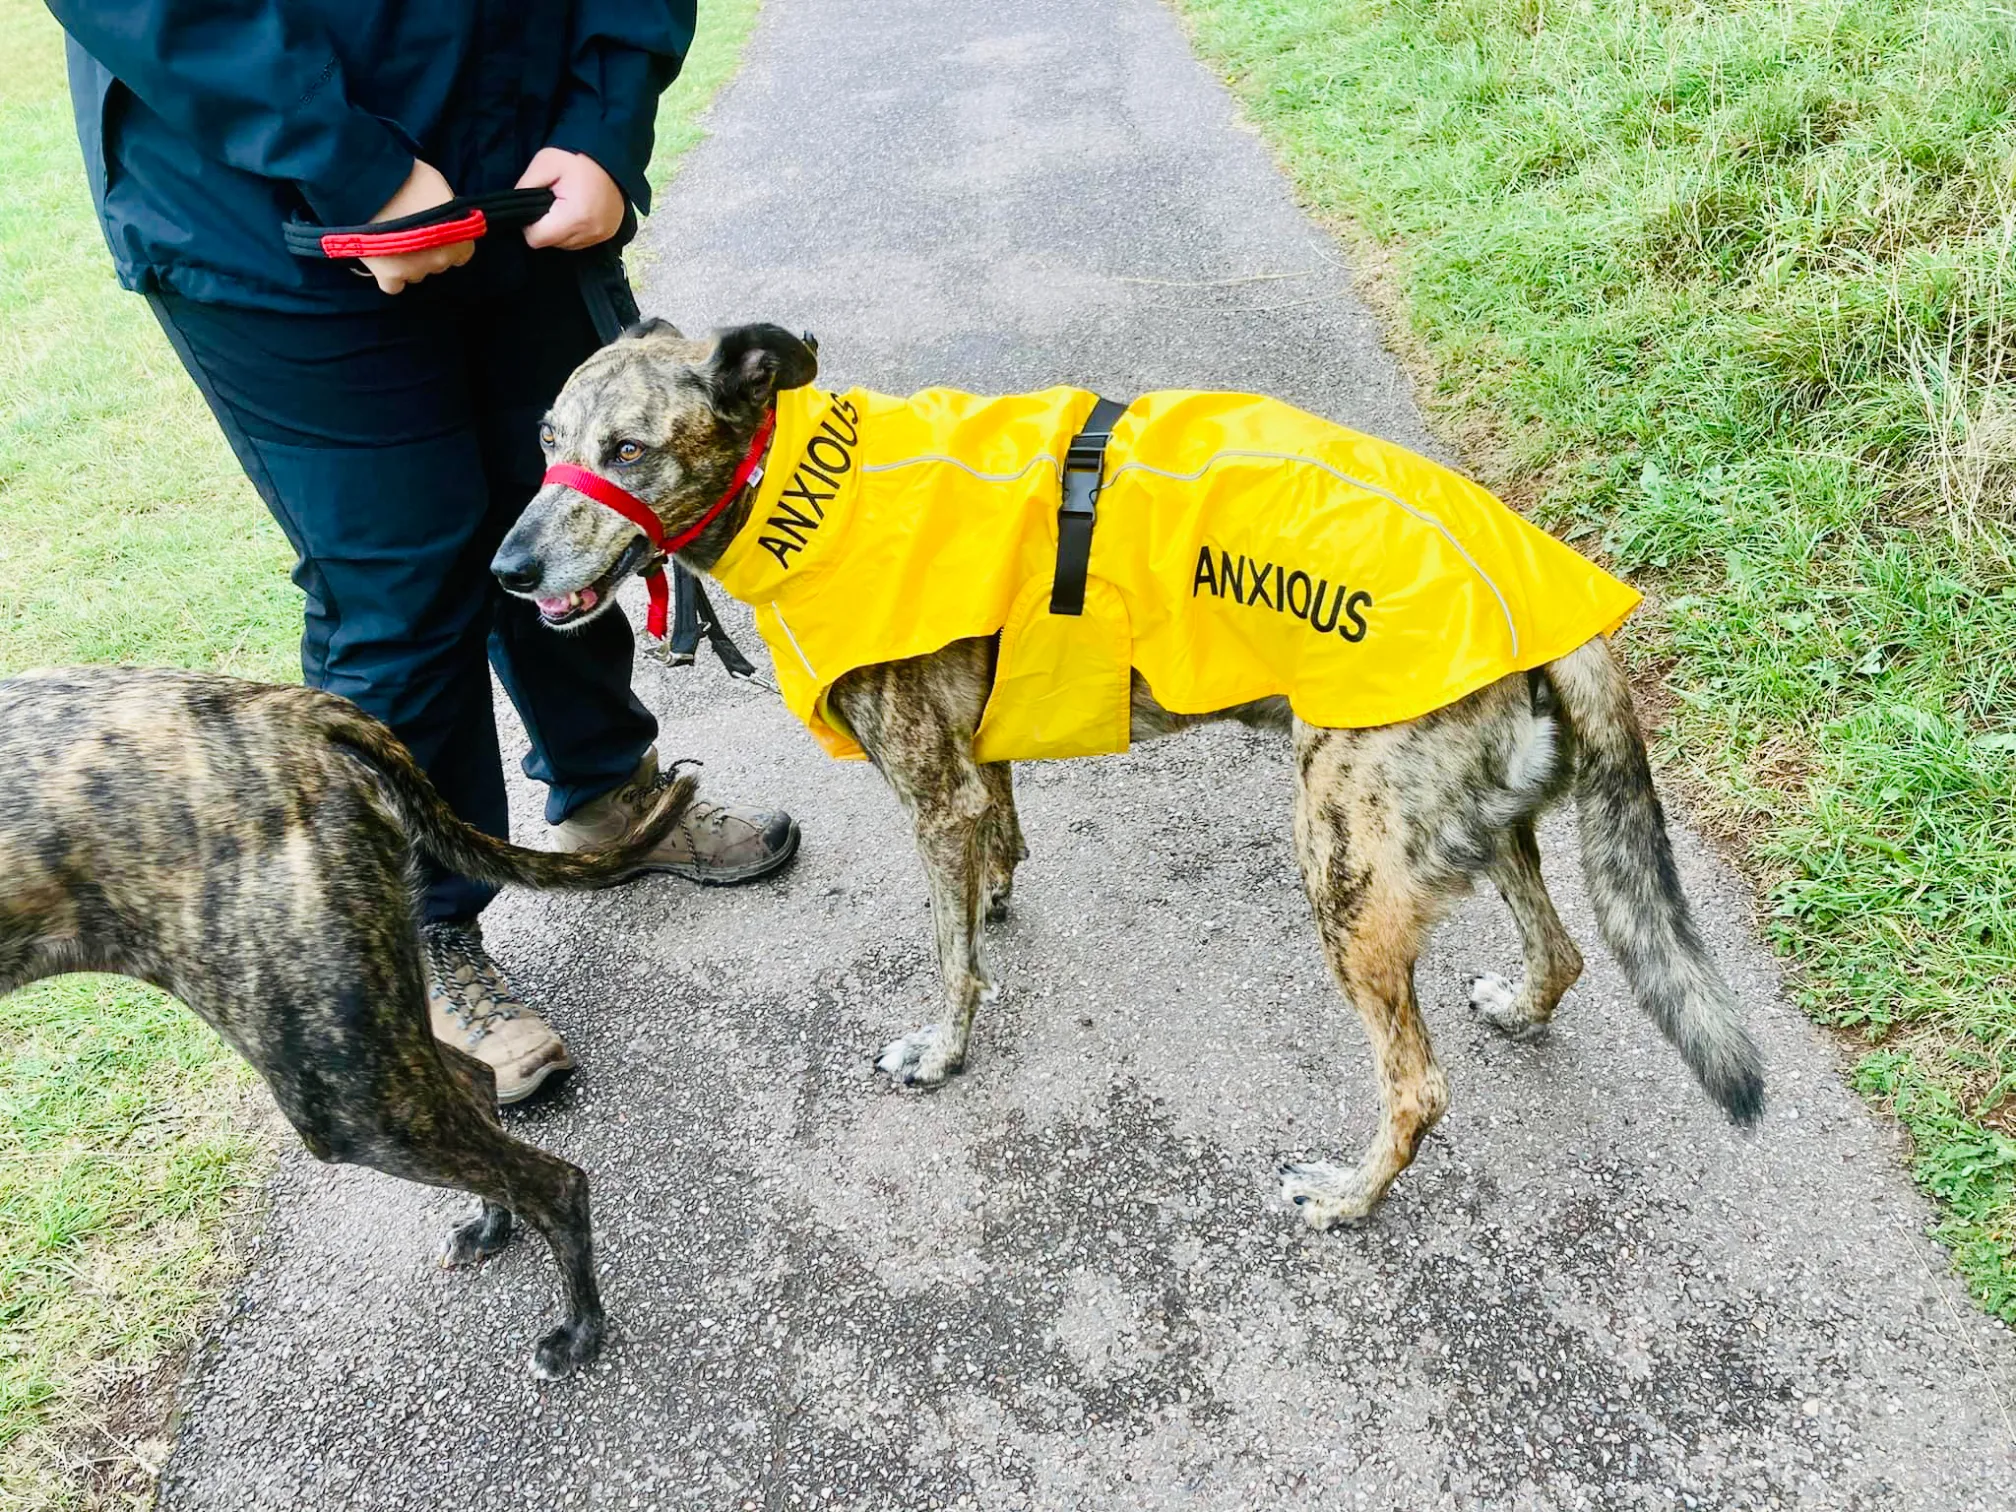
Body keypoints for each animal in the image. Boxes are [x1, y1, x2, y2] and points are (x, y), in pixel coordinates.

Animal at [495, 322, 1757, 1233]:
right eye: (544, 436)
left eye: (627, 450)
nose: (505, 569)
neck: (813, 487)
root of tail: (1543, 597)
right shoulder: (978, 762)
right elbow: (999, 840)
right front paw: (999, 895)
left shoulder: (933, 797)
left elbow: (949, 957)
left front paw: (942, 1049)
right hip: (1470, 830)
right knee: (1567, 949)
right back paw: (1523, 1005)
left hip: (1346, 868)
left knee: (1418, 1088)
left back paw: (1348, 1200)